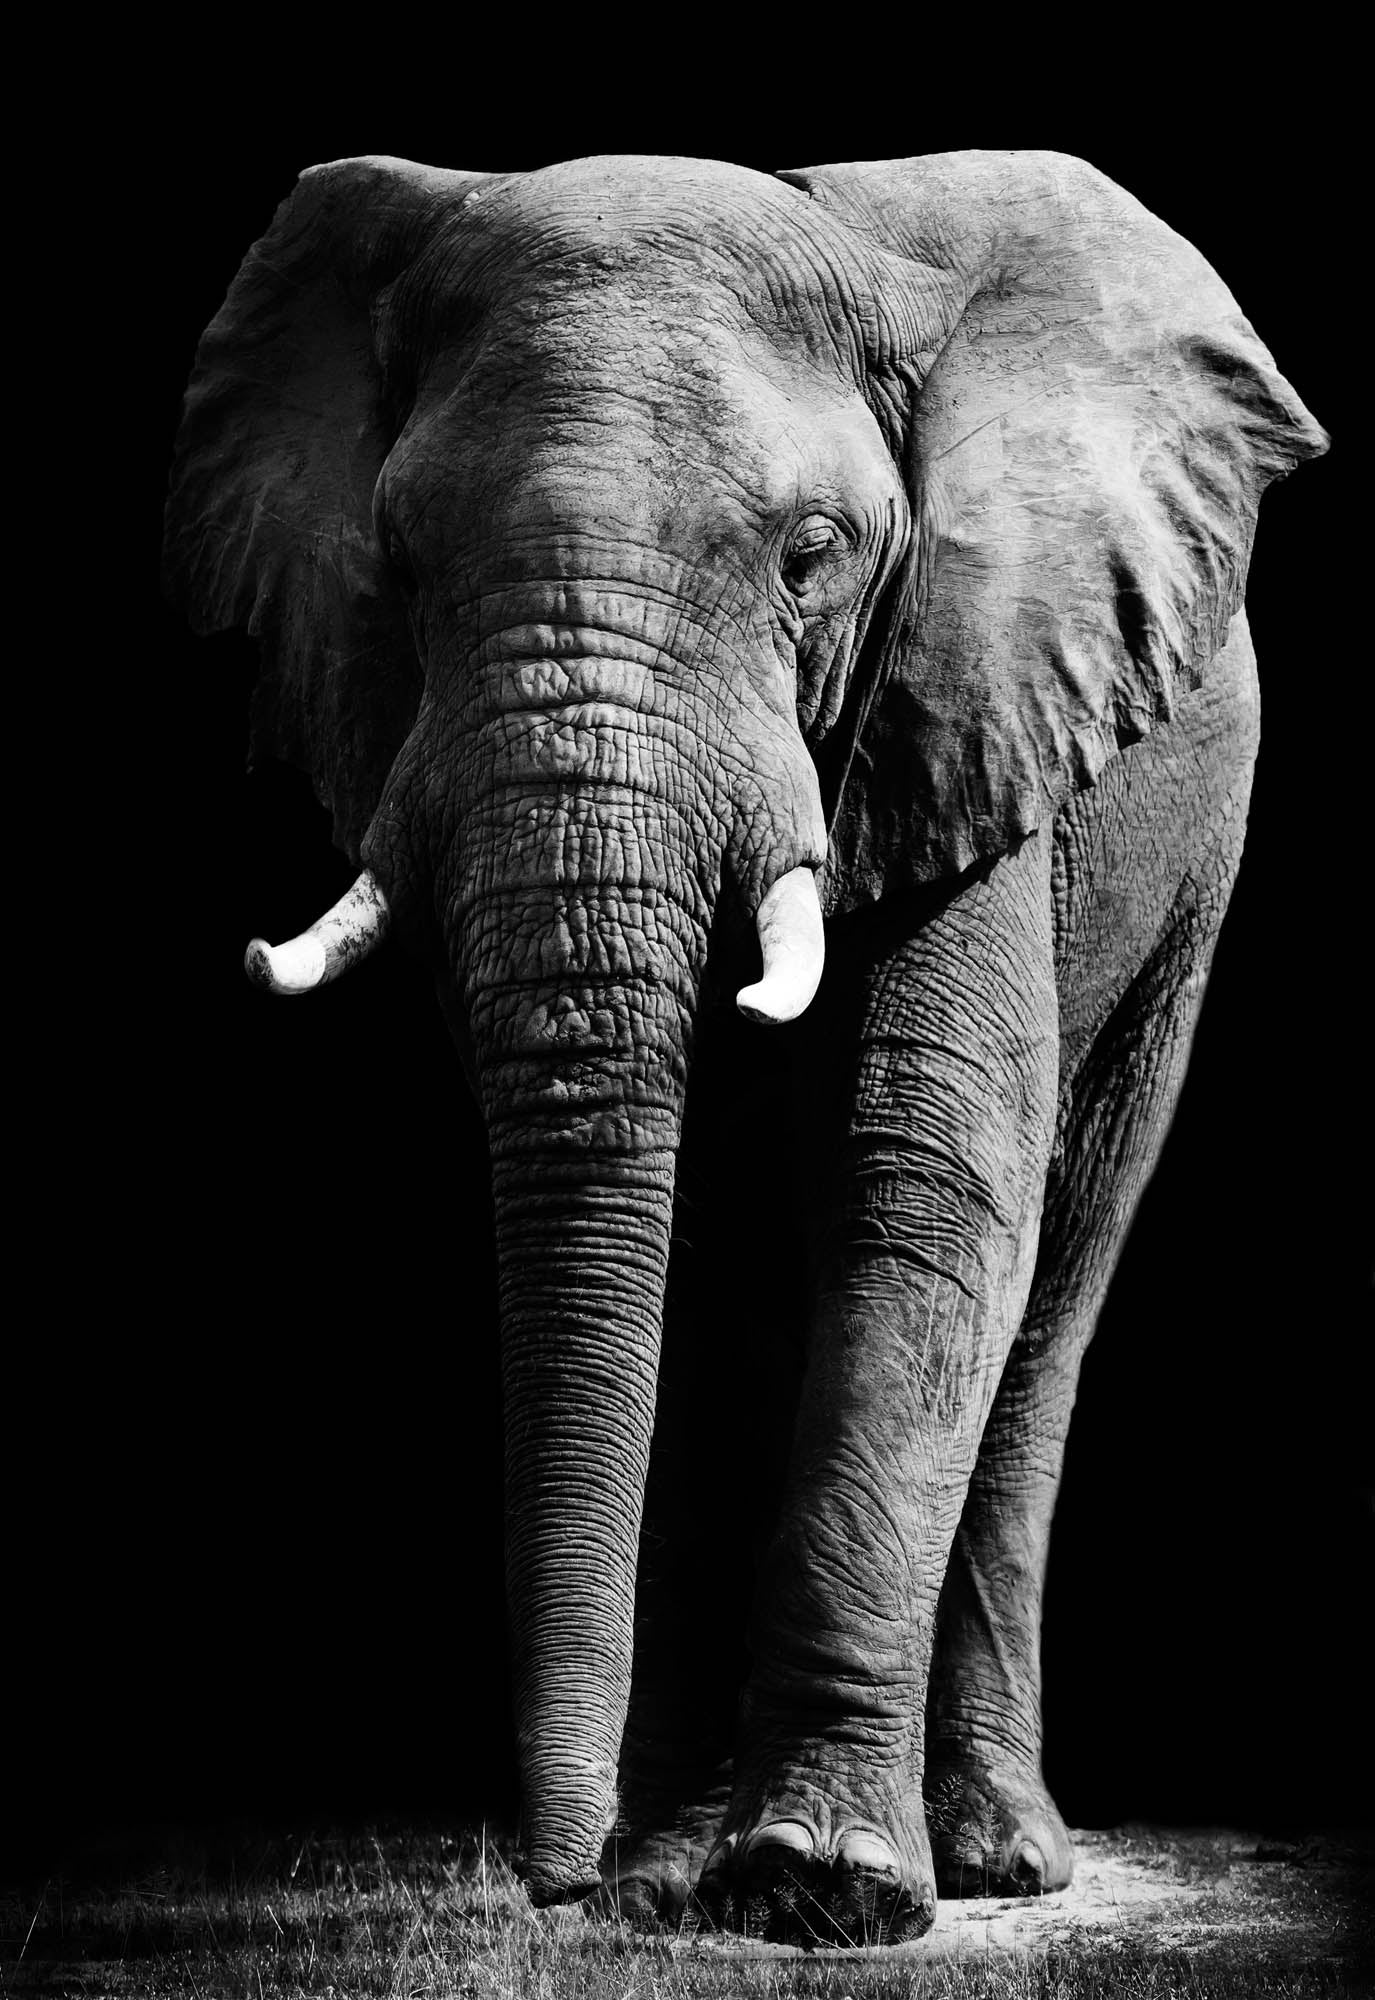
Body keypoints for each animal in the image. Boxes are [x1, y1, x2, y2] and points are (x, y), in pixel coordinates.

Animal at [164, 148, 1325, 1944]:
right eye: (396, 561)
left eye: (813, 553)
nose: (554, 1884)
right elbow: (689, 1241)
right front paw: (675, 1883)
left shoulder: (967, 697)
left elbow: (922, 1190)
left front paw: (818, 1889)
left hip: (1194, 866)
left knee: (1057, 1282)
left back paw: (991, 1861)